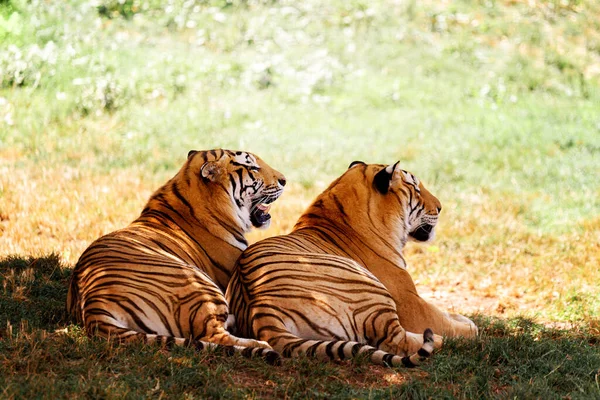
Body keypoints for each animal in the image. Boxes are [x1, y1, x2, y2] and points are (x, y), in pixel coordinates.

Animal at [67, 148, 288, 364]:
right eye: (252, 167)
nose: (284, 180)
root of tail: (93, 303)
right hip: (199, 284)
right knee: (213, 335)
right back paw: (261, 344)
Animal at [225, 161, 478, 368]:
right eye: (416, 188)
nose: (440, 207)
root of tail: (261, 310)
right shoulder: (411, 304)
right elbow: (443, 321)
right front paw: (470, 327)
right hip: (370, 287)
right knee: (397, 342)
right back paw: (437, 340)